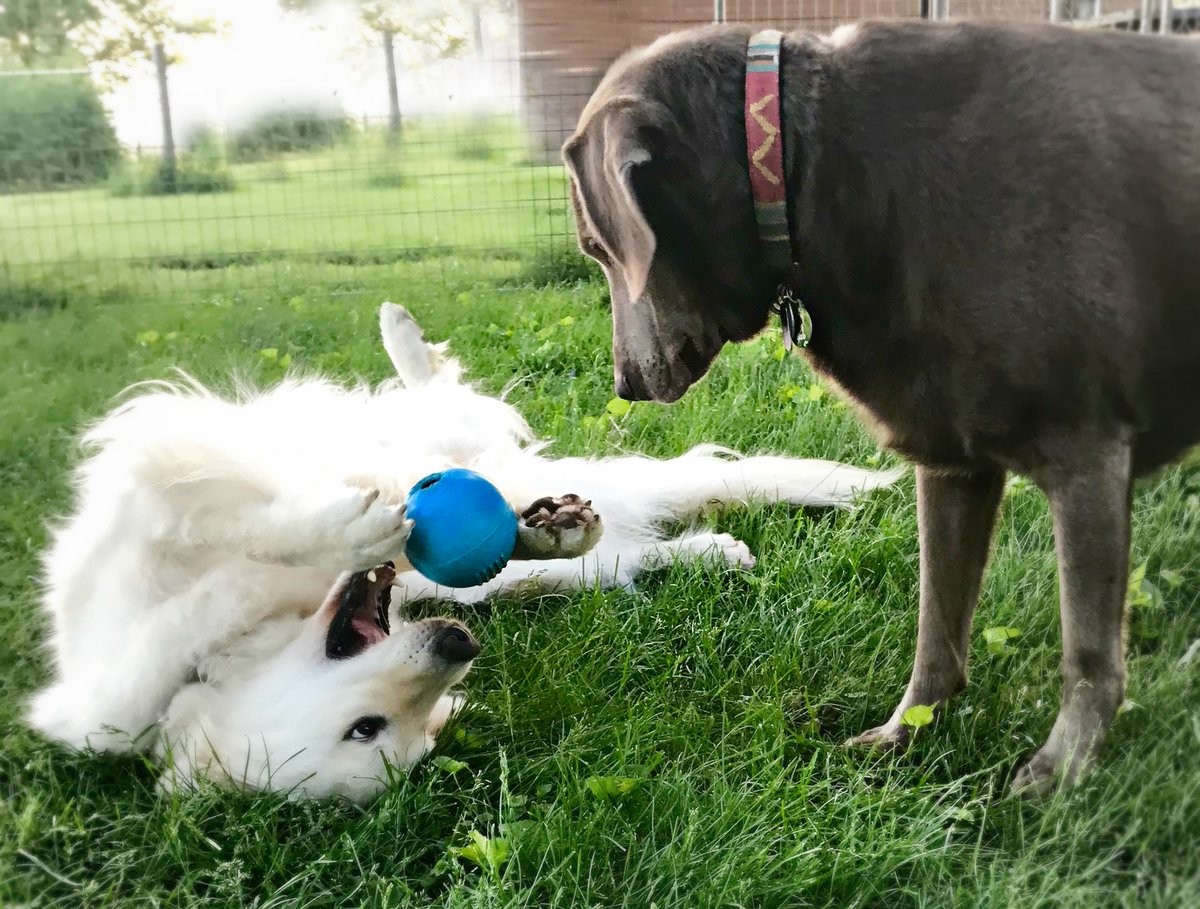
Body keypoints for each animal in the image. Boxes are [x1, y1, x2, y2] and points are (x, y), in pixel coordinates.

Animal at [25, 302, 902, 801]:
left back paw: (408, 342)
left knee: (442, 401)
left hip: (451, 447)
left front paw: (349, 525)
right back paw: (694, 547)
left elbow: (254, 521)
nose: (457, 646)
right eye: (373, 731)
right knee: (620, 549)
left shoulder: (150, 494)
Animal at [561, 17, 1200, 796]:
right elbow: (937, 624)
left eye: (599, 247)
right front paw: (906, 731)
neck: (799, 158)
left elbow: (1087, 649)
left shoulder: (1089, 457)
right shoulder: (953, 463)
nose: (624, 383)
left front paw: (1061, 772)